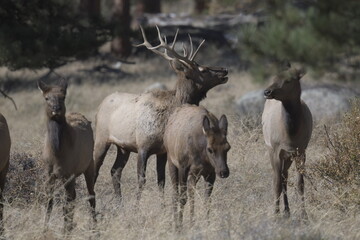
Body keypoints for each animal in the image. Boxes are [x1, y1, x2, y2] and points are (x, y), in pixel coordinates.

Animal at [38, 79, 95, 233]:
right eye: (46, 98)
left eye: (63, 97)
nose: (56, 108)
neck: (57, 153)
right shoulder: (49, 174)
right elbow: (49, 202)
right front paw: (44, 229)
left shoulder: (68, 174)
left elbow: (66, 206)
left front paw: (65, 231)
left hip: (89, 165)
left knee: (90, 195)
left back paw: (95, 227)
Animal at [93, 25, 228, 200]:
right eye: (203, 70)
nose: (224, 70)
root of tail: (101, 103)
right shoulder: (143, 145)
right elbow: (142, 179)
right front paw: (137, 204)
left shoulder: (163, 151)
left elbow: (162, 181)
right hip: (101, 138)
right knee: (95, 168)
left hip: (123, 147)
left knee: (115, 171)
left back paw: (119, 202)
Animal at [262, 64, 312, 219]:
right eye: (274, 78)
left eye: (289, 80)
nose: (267, 91)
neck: (290, 134)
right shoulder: (277, 151)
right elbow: (277, 183)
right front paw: (275, 213)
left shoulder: (300, 150)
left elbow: (300, 183)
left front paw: (304, 214)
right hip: (271, 149)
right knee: (278, 177)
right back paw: (284, 211)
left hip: (288, 157)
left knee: (285, 176)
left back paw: (287, 210)